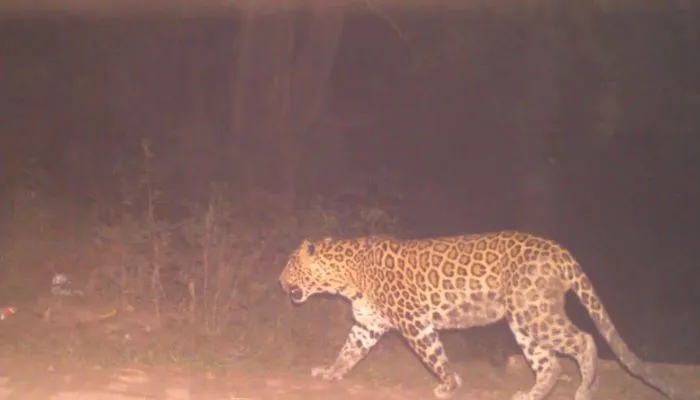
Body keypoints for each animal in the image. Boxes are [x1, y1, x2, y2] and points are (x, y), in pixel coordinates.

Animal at [279, 230, 696, 400]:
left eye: (290, 265)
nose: (280, 282)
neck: (345, 277)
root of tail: (559, 250)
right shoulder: (367, 326)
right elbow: (347, 352)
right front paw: (329, 373)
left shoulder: (415, 322)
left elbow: (434, 356)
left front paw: (449, 384)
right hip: (524, 321)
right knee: (549, 364)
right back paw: (531, 393)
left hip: (534, 312)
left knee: (584, 340)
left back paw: (584, 388)